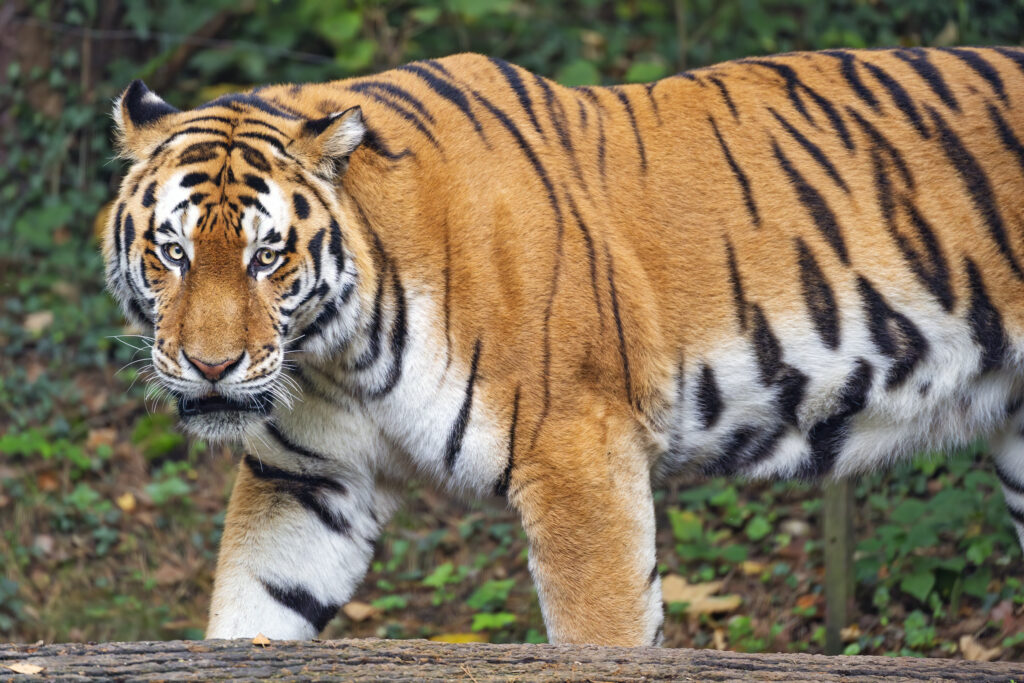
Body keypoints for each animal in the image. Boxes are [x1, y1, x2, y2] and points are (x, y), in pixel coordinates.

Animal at [104, 46, 1024, 647]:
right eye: (173, 251)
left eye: (267, 257)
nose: (212, 366)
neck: (339, 347)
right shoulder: (306, 477)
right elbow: (254, 607)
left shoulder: (580, 456)